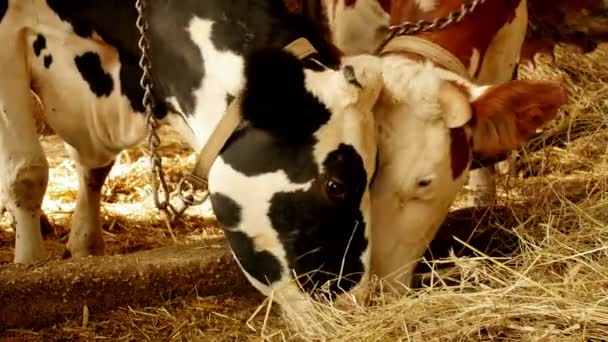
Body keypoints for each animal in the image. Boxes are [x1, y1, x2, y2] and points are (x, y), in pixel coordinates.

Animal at [0, 0, 382, 310]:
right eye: (336, 186)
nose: (353, 300)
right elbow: (28, 172)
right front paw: (30, 266)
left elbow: (96, 170)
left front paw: (84, 246)